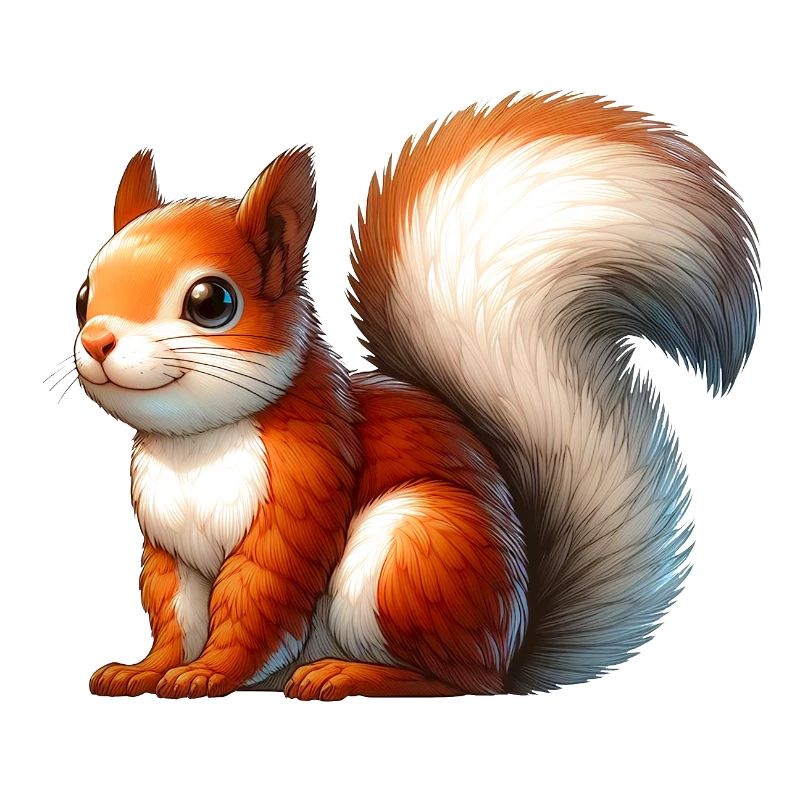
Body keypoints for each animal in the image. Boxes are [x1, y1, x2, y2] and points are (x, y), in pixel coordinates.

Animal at [71, 93, 759, 699]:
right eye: (82, 294)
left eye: (210, 301)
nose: (97, 340)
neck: (196, 446)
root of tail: (507, 656)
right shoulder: (168, 545)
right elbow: (173, 613)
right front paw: (144, 670)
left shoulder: (302, 490)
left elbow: (258, 596)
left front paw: (208, 674)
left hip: (413, 550)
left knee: (452, 683)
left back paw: (350, 675)